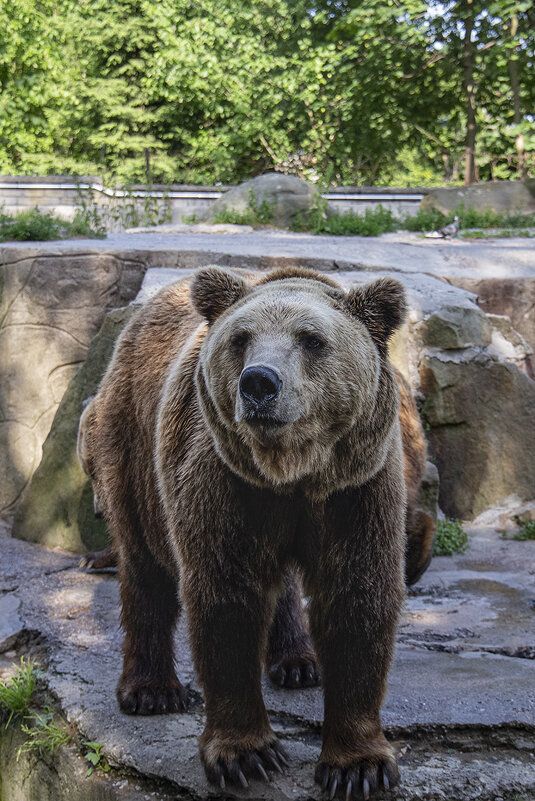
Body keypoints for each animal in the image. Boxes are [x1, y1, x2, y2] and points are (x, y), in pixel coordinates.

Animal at [82, 266, 428, 796]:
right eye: (241, 339)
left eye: (311, 339)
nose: (260, 382)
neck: (291, 473)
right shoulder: (222, 479)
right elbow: (228, 598)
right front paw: (247, 755)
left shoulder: (357, 487)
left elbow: (357, 597)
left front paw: (359, 766)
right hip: (132, 448)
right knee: (144, 565)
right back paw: (151, 690)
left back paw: (299, 661)